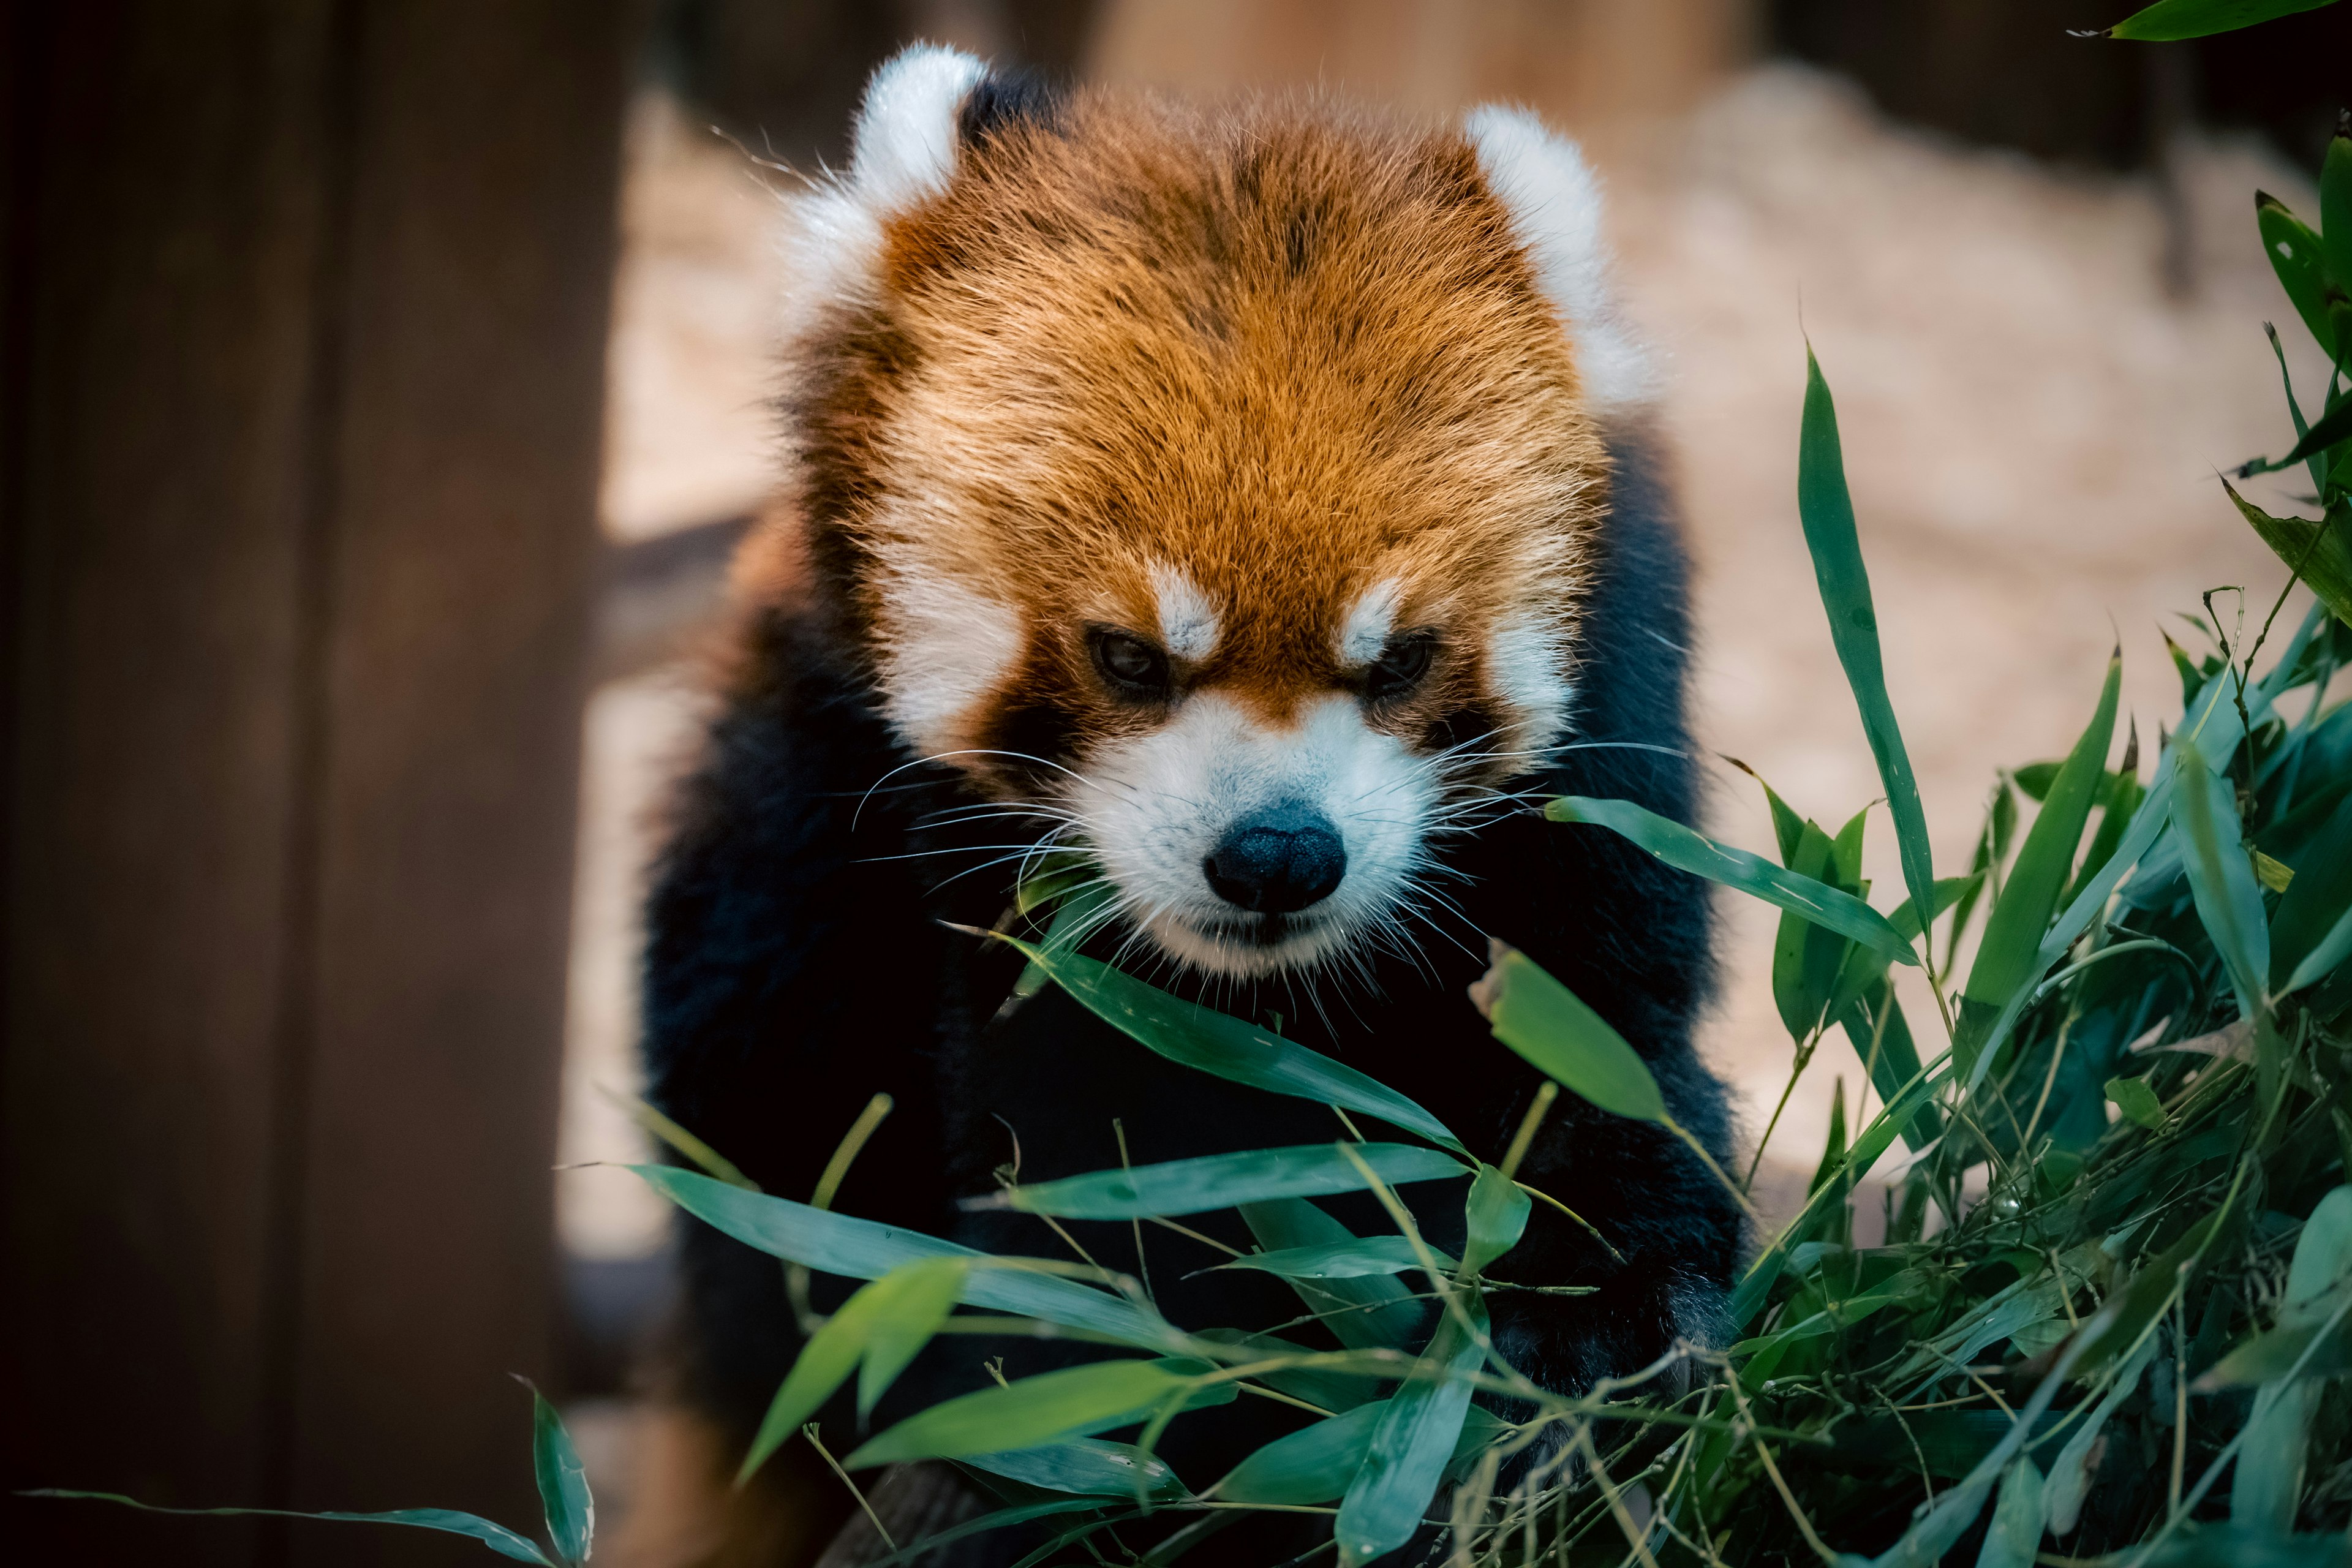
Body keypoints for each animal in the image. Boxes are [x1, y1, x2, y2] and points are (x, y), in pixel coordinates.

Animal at [639, 46, 1731, 1568]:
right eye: (1127, 655)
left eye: (1400, 658)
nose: (1277, 853)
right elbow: (1097, 1163)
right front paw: (1128, 1400)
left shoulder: (1601, 775)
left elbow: (1599, 1041)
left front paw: (1597, 1309)